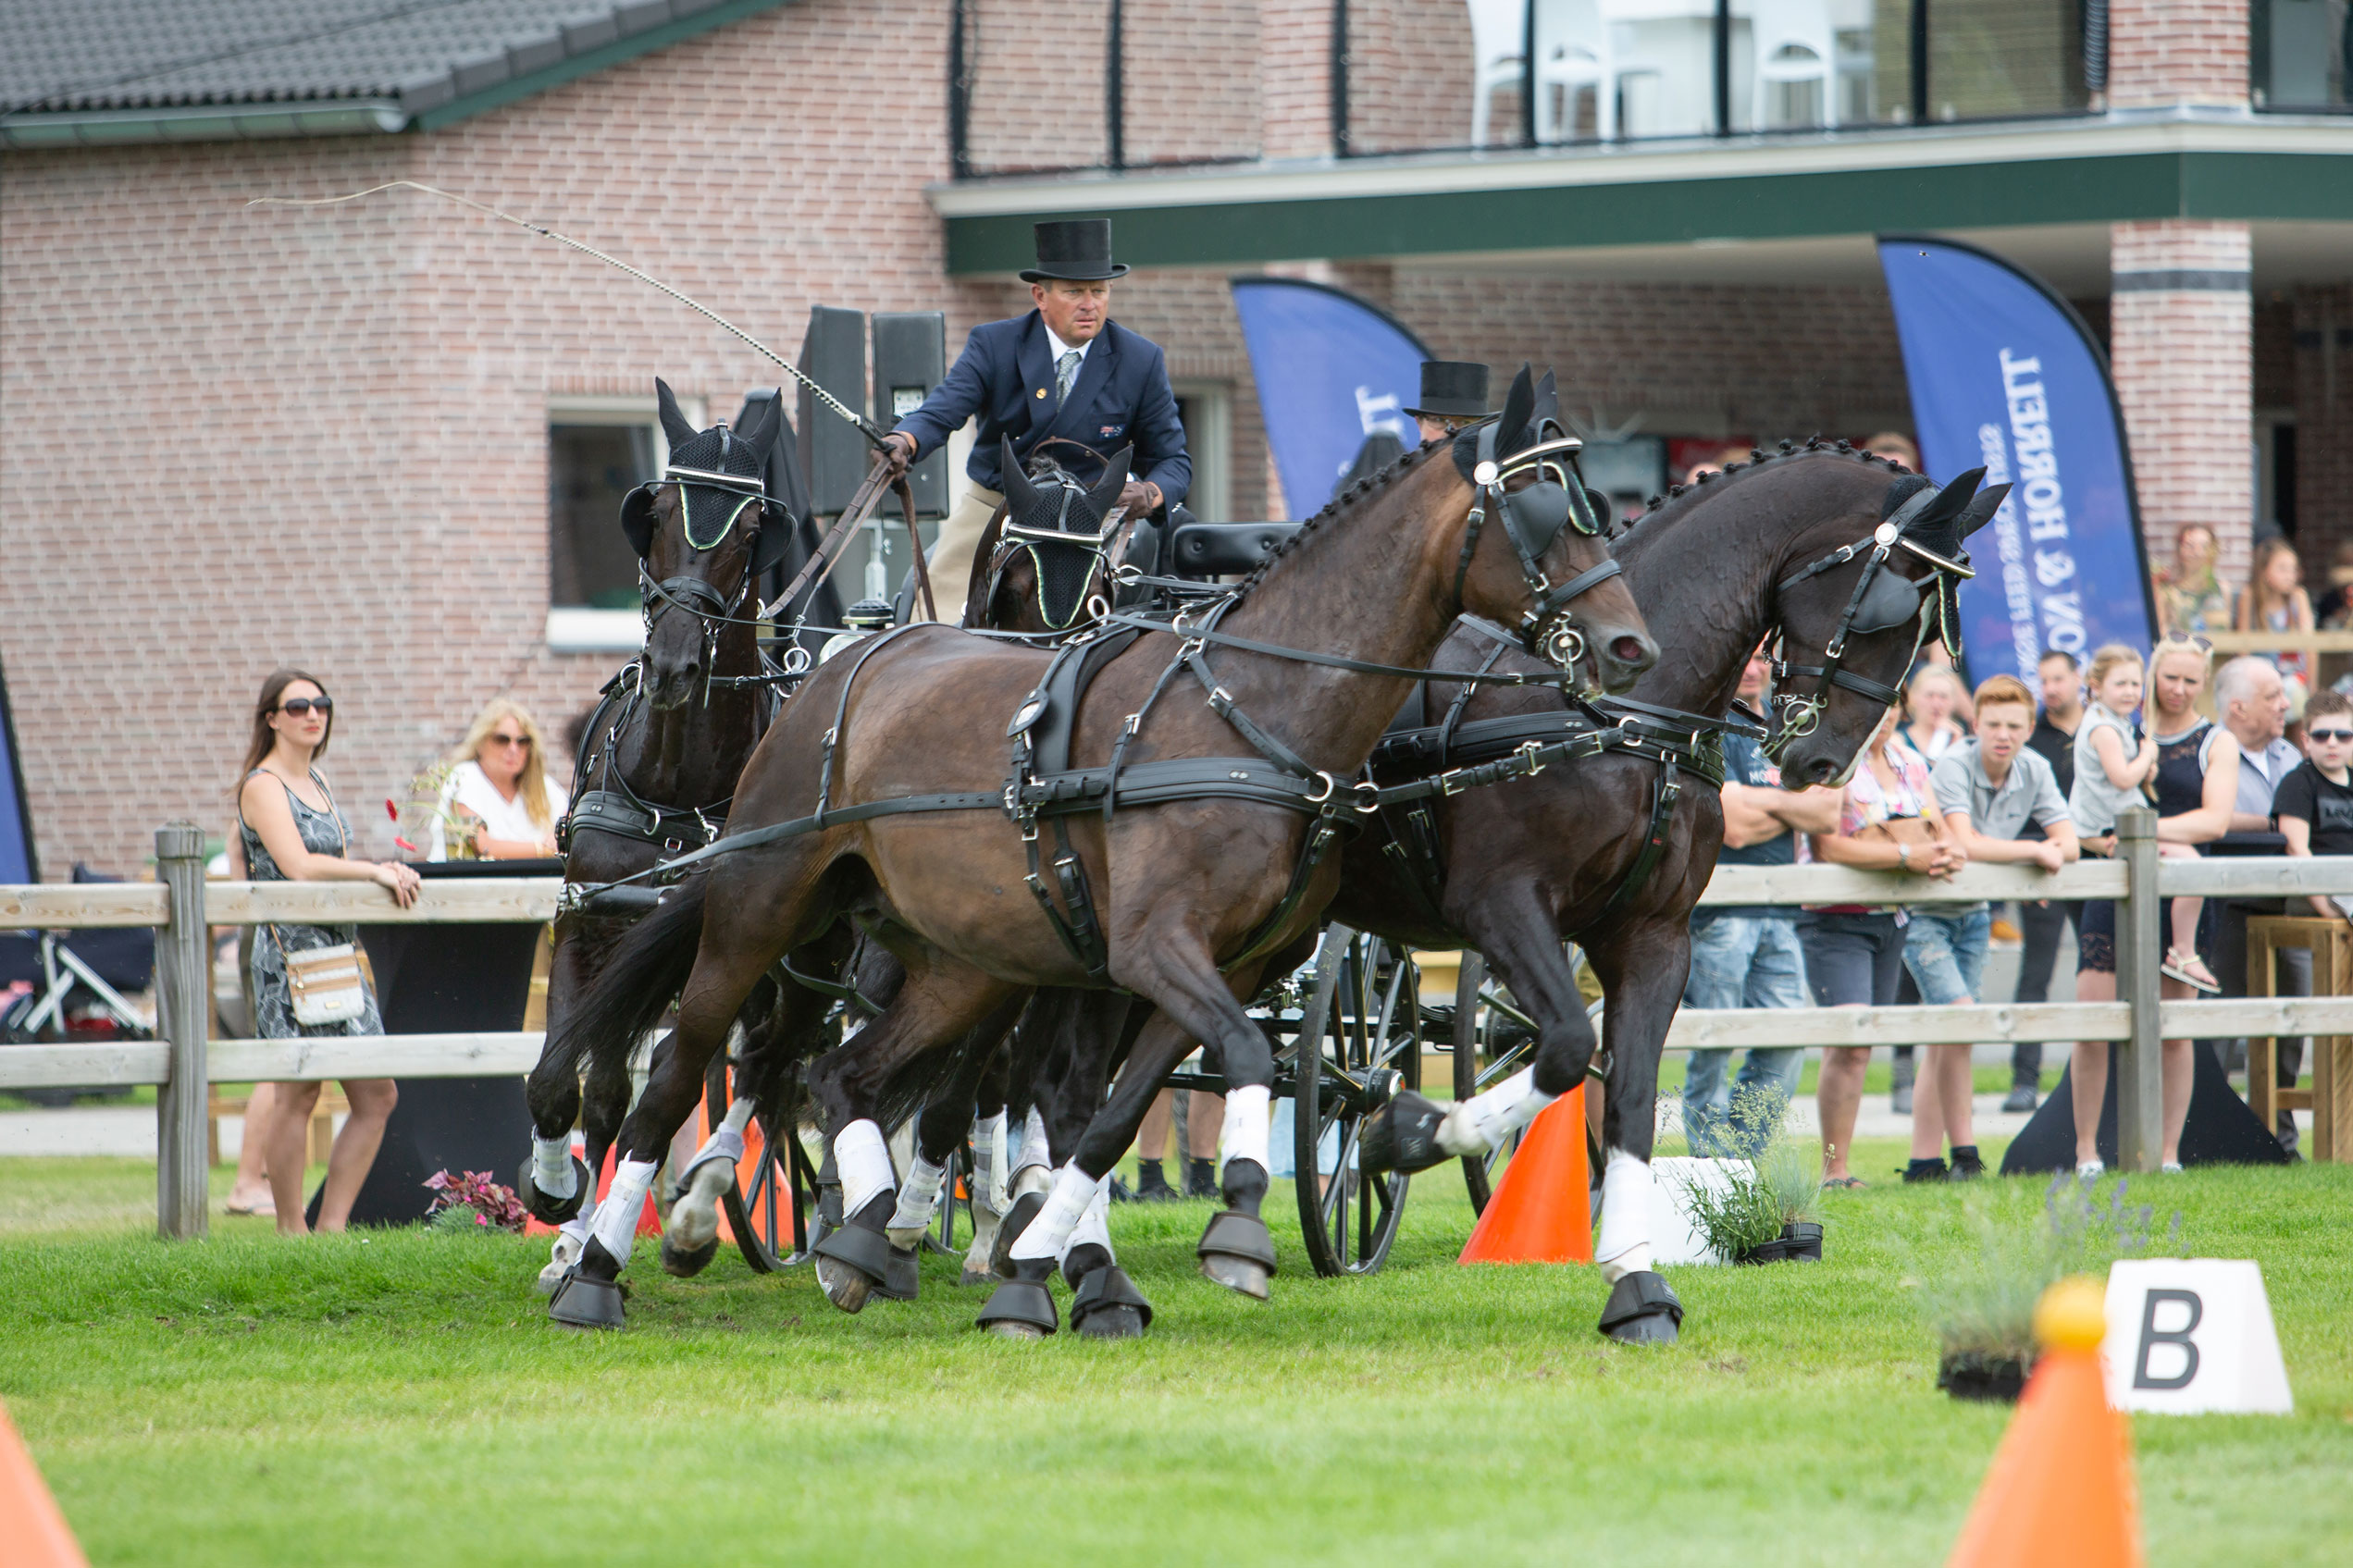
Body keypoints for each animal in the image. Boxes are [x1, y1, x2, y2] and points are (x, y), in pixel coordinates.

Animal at [543, 368, 1666, 1326]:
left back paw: (861, 1237)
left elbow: (1116, 1108)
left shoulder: (1215, 965)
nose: (1630, 647)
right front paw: (1231, 1222)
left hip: (960, 959)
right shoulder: (1151, 948)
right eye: (1542, 510)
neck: (1250, 711)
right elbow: (1228, 1058)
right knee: (684, 1071)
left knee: (846, 1075)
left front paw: (1058, 1255)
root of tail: (836, 666)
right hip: (763, 909)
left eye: (1594, 504)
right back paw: (598, 1262)